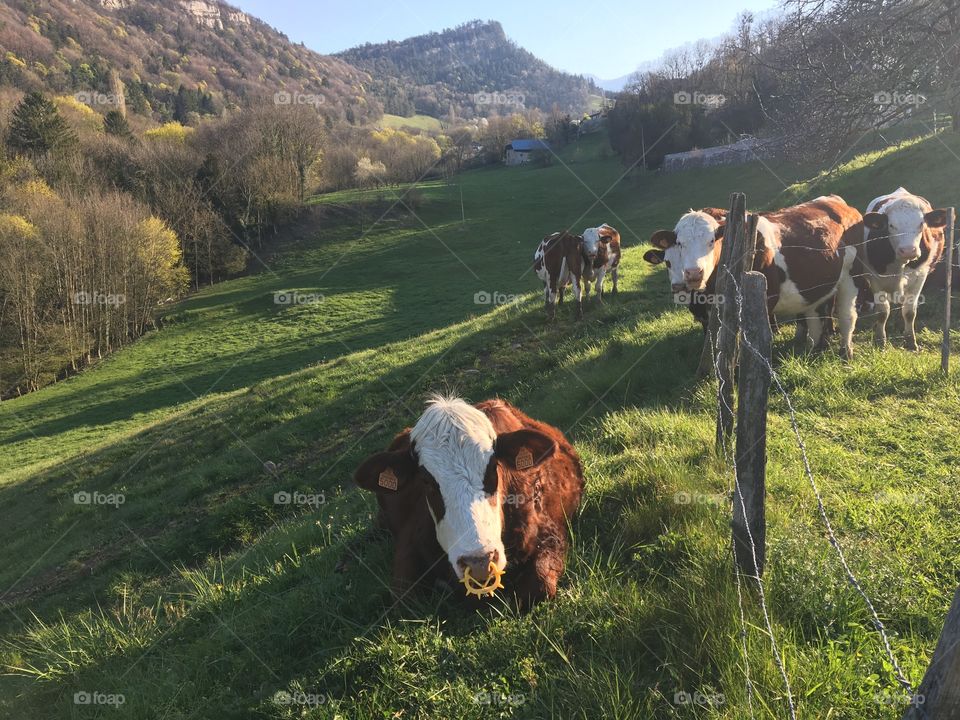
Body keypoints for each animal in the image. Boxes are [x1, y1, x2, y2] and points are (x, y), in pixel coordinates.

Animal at [353, 396, 584, 608]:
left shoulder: (551, 531)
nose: (479, 562)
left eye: (493, 467)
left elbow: (538, 586)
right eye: (426, 480)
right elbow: (405, 600)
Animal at [644, 197, 864, 358]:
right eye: (680, 243)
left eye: (712, 241)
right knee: (818, 313)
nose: (693, 273)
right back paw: (816, 346)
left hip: (852, 275)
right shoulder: (709, 315)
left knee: (847, 315)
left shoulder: (762, 301)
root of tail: (837, 201)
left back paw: (846, 351)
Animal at [856, 188, 948, 350]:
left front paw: (911, 342)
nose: (908, 250)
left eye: (921, 224)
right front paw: (880, 341)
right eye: (891, 226)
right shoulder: (874, 278)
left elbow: (909, 312)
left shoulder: (920, 277)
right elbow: (882, 312)